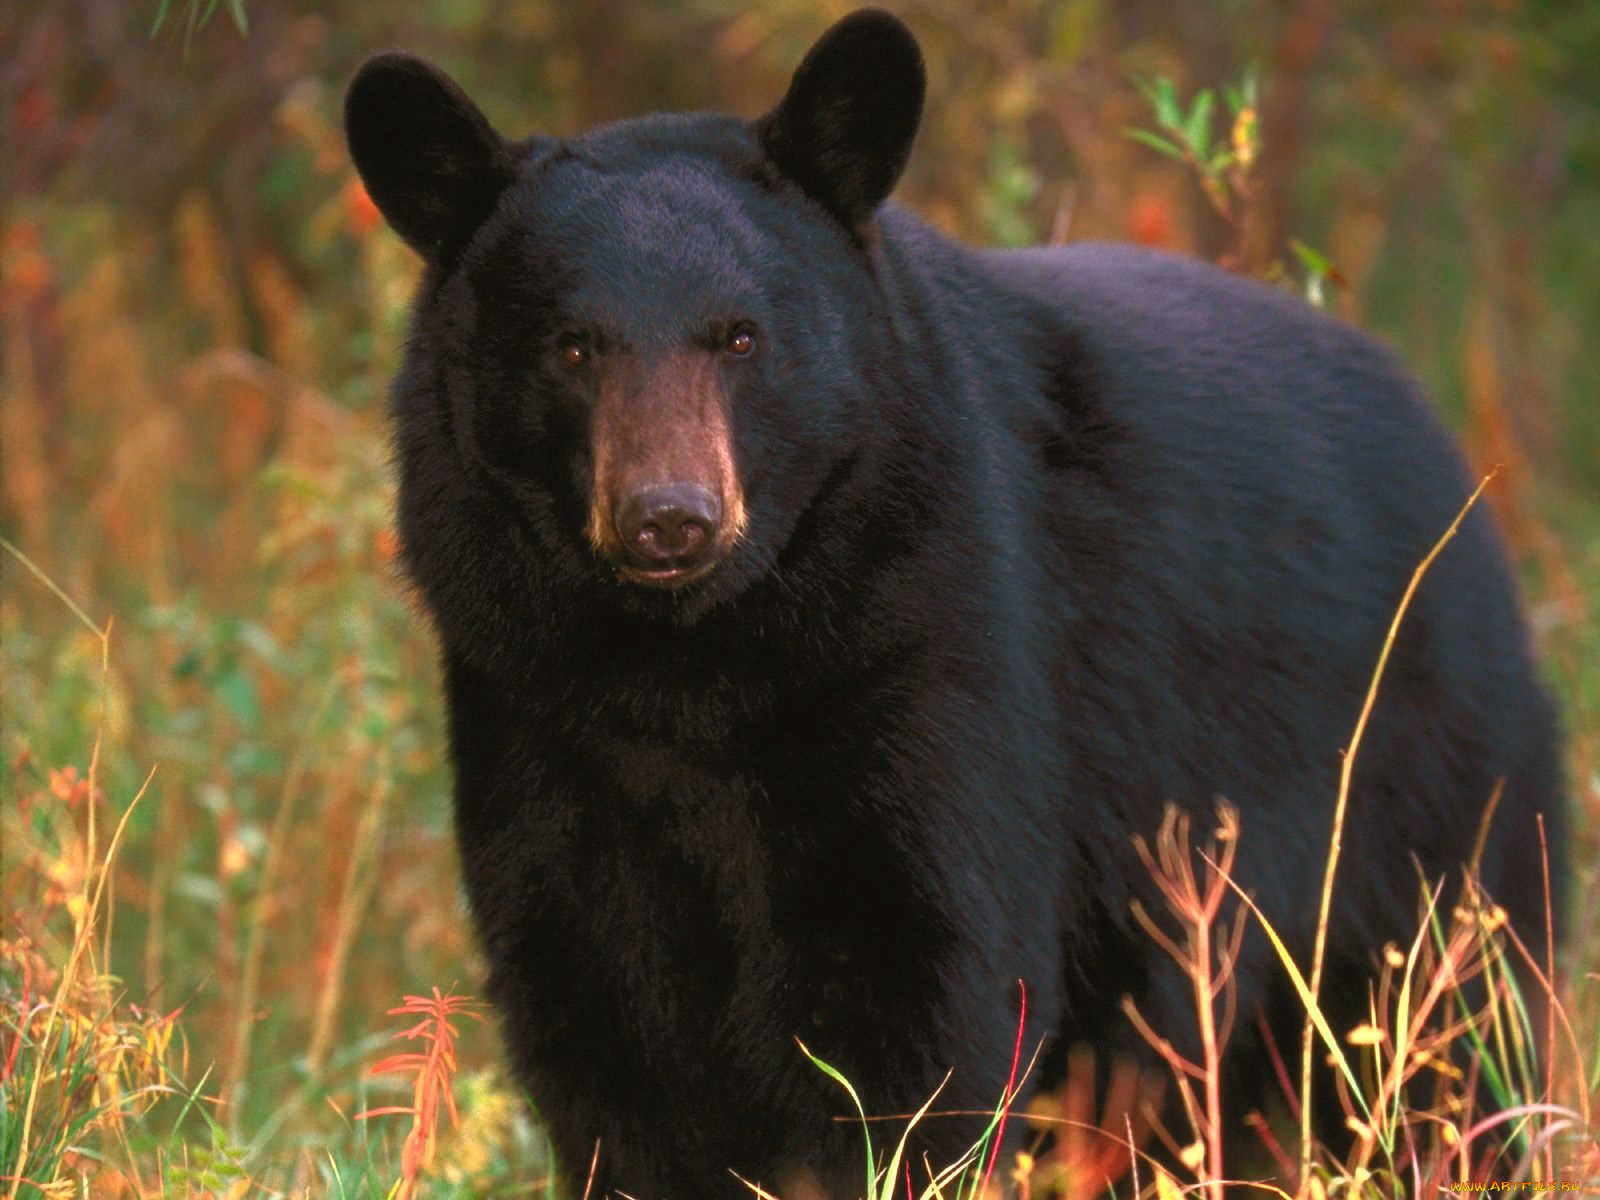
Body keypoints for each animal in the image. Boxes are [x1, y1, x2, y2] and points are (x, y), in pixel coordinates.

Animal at [344, 10, 1568, 1198]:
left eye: (741, 336)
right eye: (572, 345)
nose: (669, 518)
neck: (693, 667)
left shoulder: (933, 647)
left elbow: (922, 992)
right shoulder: (535, 707)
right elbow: (600, 1021)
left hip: (1417, 800)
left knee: (1452, 1033)